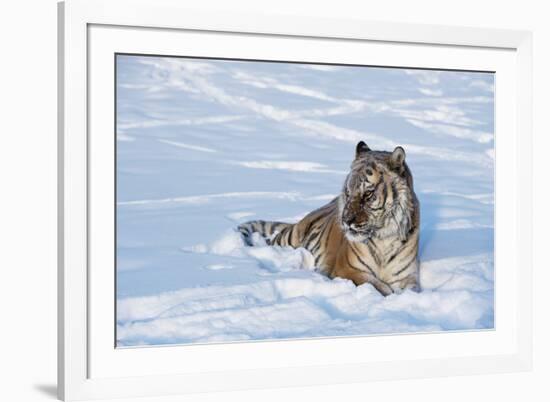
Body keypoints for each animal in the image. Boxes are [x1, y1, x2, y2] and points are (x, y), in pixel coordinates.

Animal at [237, 141, 422, 296]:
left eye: (368, 194)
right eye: (348, 192)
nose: (346, 221)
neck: (384, 237)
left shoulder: (407, 277)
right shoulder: (347, 270)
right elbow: (379, 287)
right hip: (290, 238)